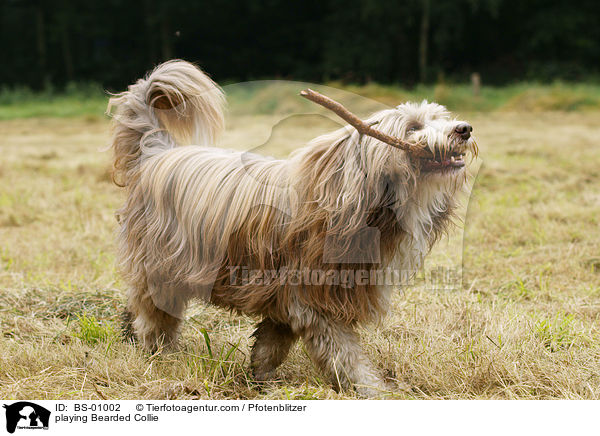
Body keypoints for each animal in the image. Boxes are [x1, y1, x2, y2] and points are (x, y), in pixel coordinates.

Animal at [109, 59, 478, 396]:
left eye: (440, 118)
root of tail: (156, 153)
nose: (464, 129)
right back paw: (159, 351)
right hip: (161, 264)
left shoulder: (285, 293)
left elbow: (272, 342)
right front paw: (374, 391)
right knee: (155, 313)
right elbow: (345, 355)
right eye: (413, 126)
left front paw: (261, 377)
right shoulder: (314, 299)